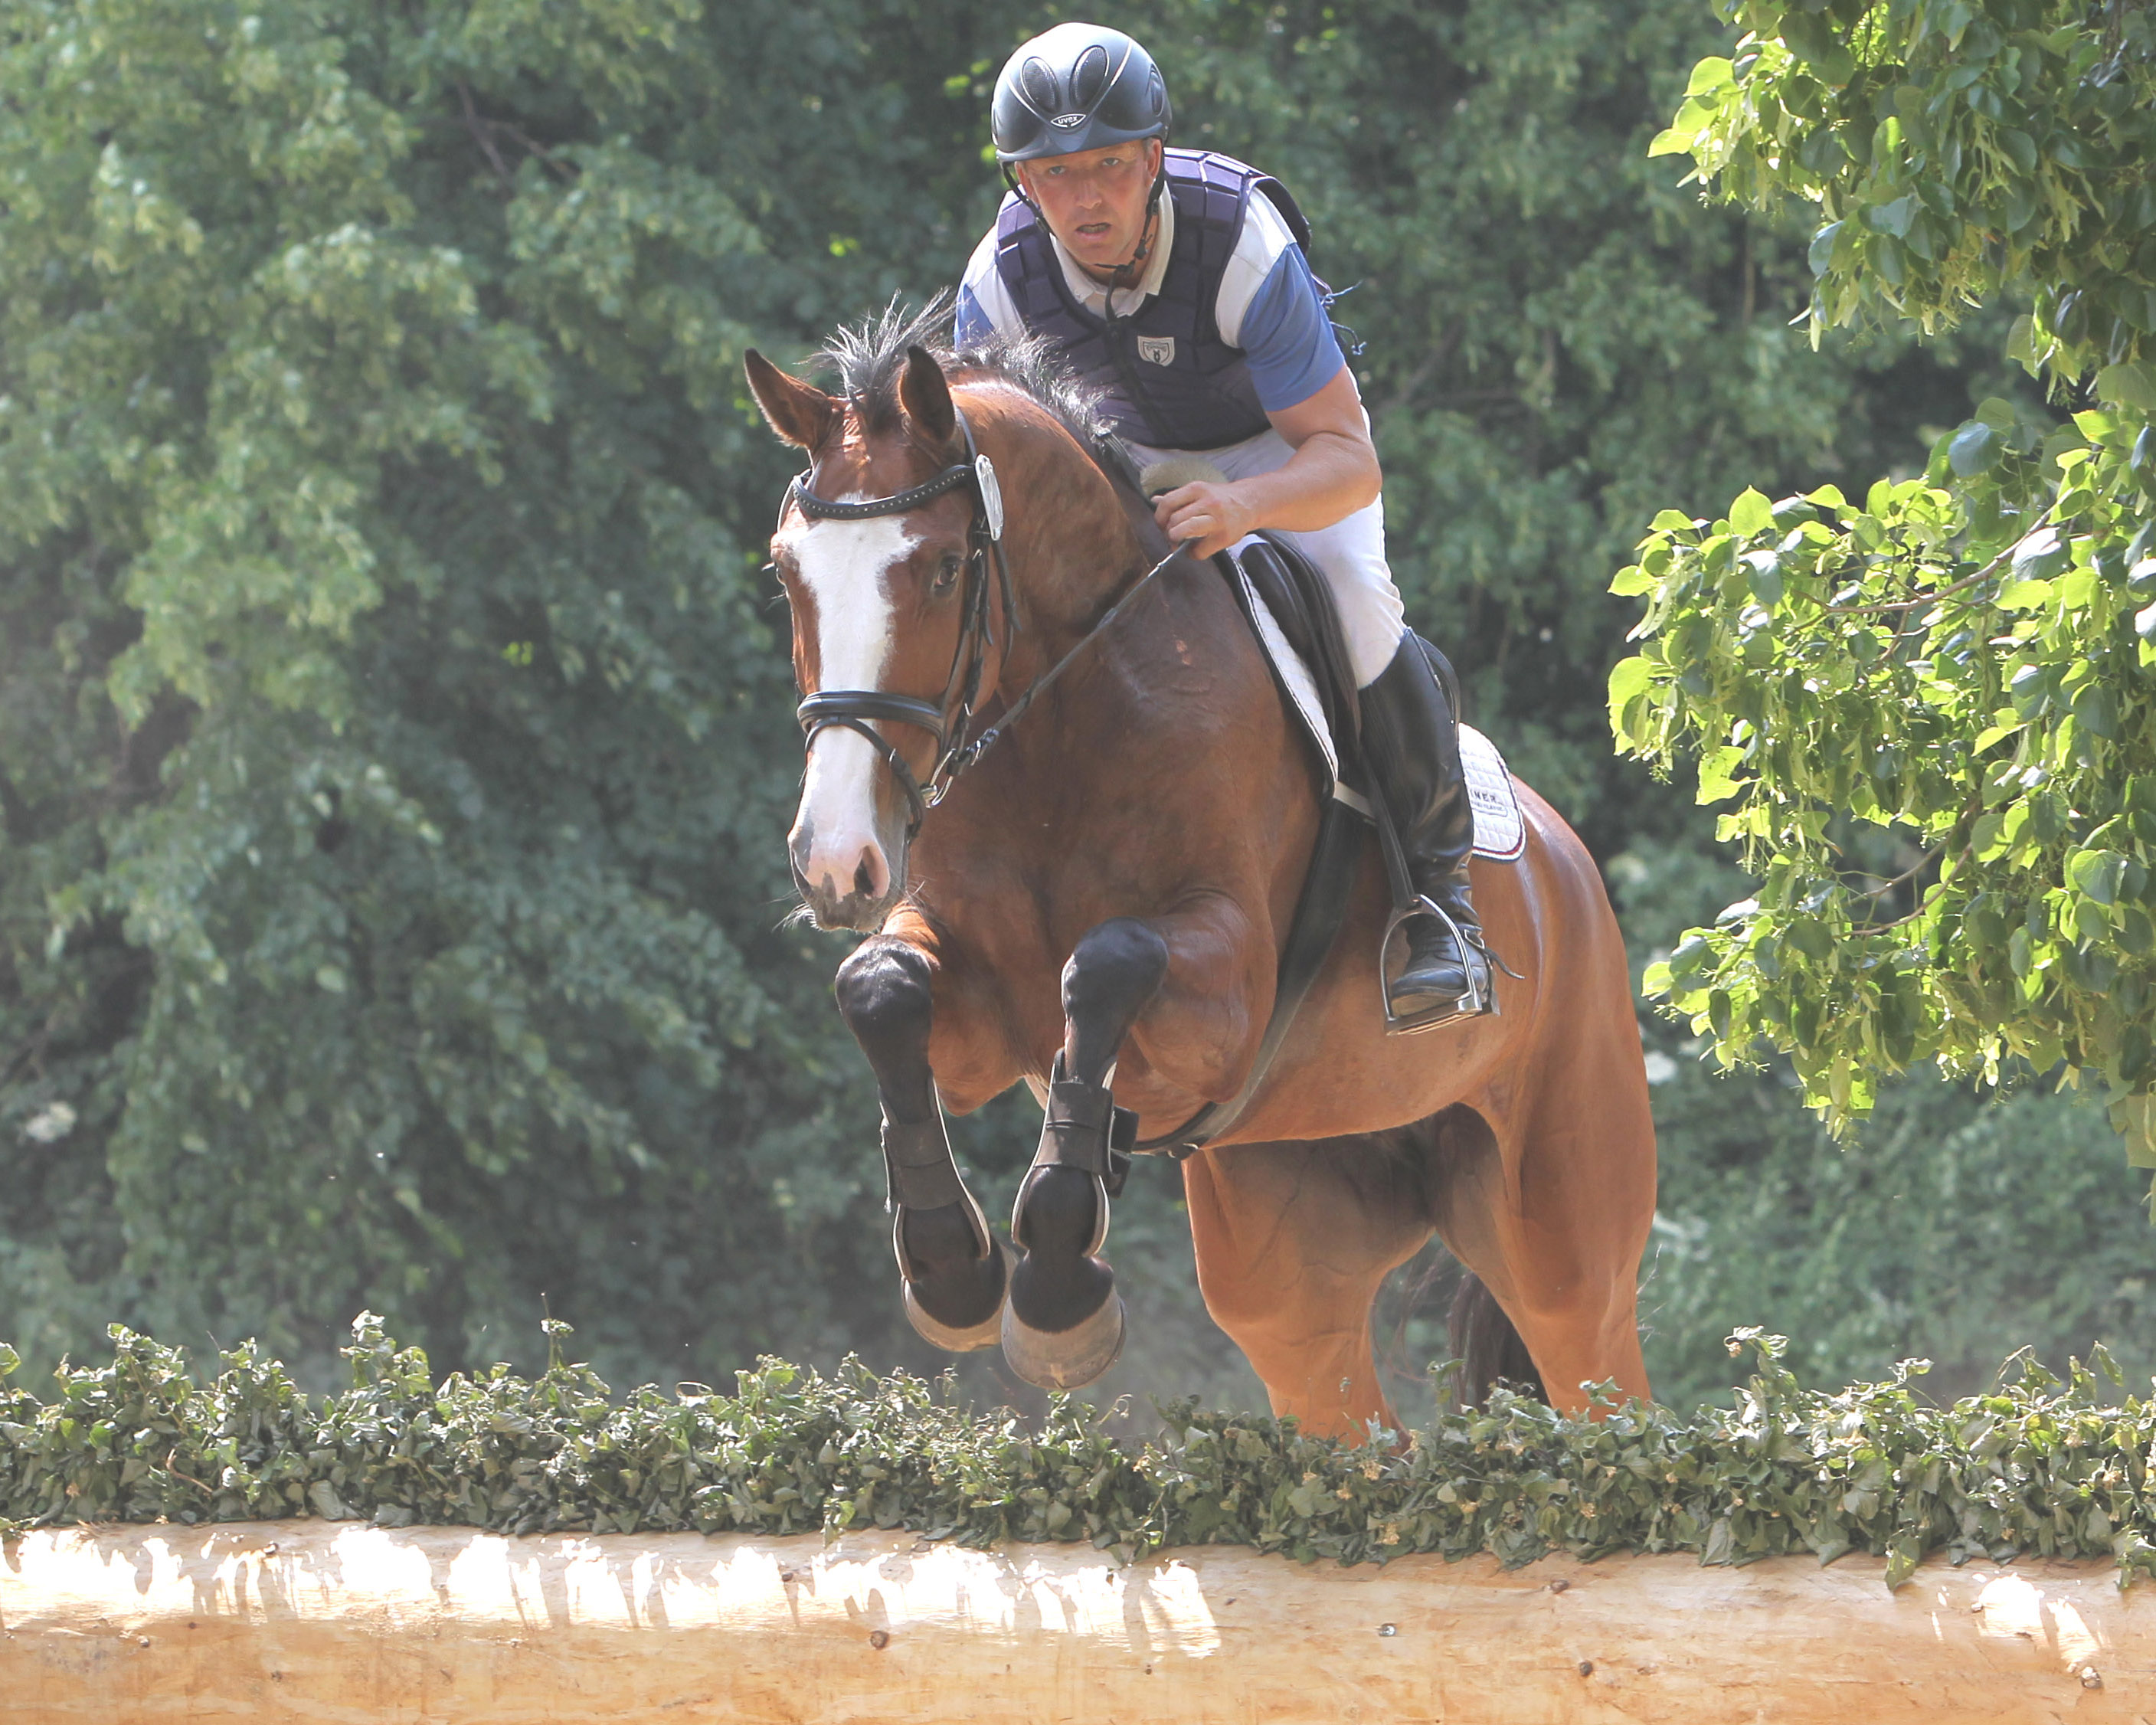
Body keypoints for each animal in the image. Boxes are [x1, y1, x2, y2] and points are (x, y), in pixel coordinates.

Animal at [741, 313, 1647, 1440]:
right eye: (787, 572)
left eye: (946, 568)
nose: (835, 861)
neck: (1057, 720)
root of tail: (1568, 865)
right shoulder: (976, 1021)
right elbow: (879, 988)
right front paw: (952, 1268)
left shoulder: (1225, 997)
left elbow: (1107, 961)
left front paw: (1054, 1292)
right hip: (1287, 1257)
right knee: (1359, 1423)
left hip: (1565, 1236)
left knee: (1598, 1370)